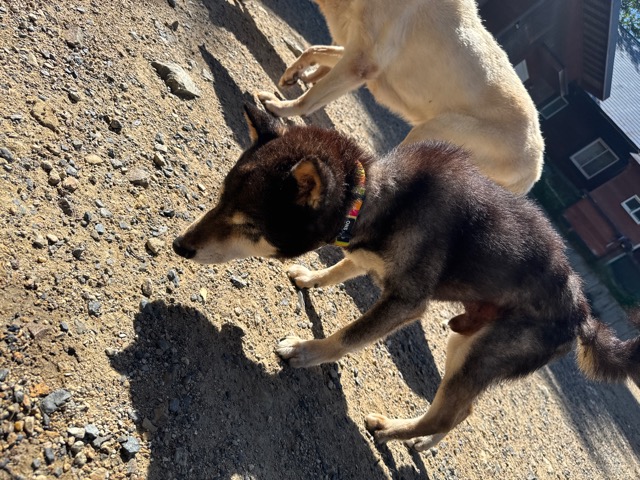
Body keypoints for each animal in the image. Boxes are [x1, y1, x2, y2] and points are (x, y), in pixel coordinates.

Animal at [173, 106, 639, 451]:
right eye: (220, 200)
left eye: (250, 225)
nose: (180, 245)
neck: (380, 200)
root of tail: (583, 312)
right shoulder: (367, 256)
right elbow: (343, 267)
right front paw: (310, 276)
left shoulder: (406, 302)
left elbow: (348, 336)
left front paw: (305, 351)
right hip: (465, 342)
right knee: (462, 412)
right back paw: (421, 443)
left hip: (483, 352)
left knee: (446, 413)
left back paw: (392, 430)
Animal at [257, 0, 544, 195]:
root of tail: (534, 170)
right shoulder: (359, 55)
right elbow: (314, 50)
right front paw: (292, 76)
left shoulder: (361, 62)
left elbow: (310, 97)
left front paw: (280, 107)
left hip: (432, 130)